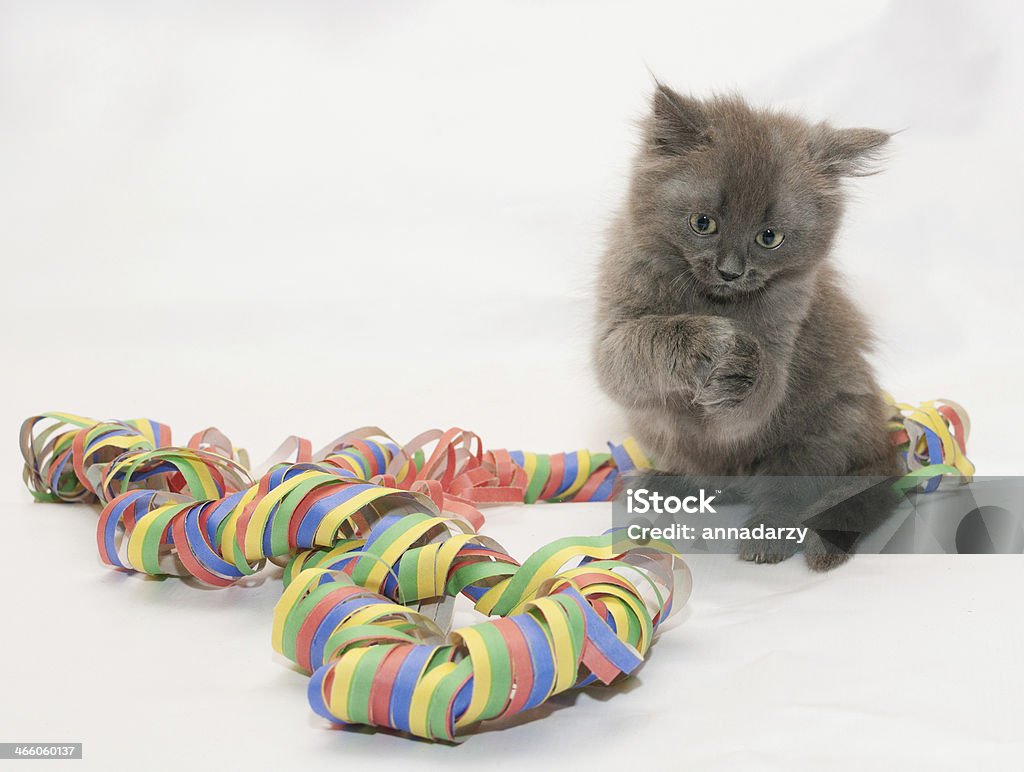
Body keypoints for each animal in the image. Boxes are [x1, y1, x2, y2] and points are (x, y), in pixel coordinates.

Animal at [598, 83, 901, 569]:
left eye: (769, 237)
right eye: (703, 223)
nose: (730, 271)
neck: (711, 301)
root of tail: (885, 446)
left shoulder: (785, 334)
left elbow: (758, 396)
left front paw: (741, 366)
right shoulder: (614, 328)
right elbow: (638, 347)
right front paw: (707, 343)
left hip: (825, 430)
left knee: (790, 495)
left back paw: (768, 538)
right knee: (714, 483)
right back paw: (660, 485)